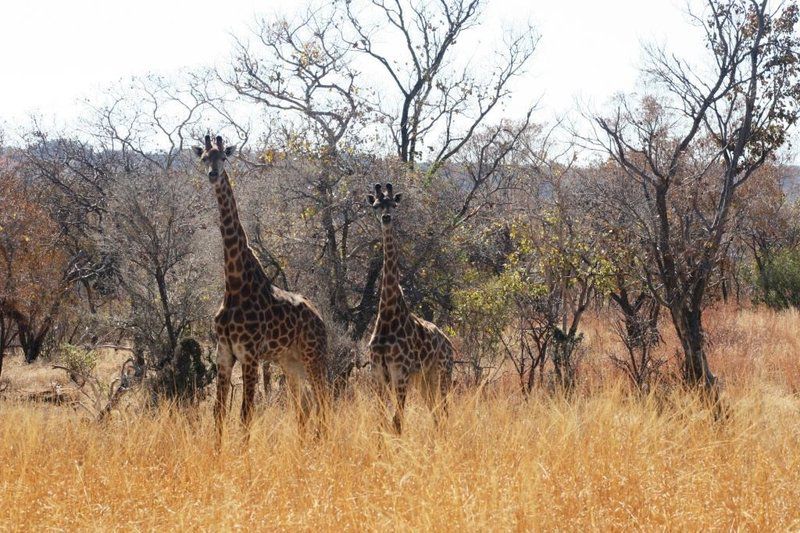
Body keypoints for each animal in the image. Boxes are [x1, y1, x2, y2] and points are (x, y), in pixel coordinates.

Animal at [192, 135, 330, 442]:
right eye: (204, 157)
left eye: (224, 157)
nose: (213, 175)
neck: (234, 284)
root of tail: (320, 317)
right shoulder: (224, 353)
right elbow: (218, 412)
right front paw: (217, 451)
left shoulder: (250, 354)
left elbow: (246, 414)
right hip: (290, 362)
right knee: (304, 405)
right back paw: (305, 445)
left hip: (313, 356)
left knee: (324, 400)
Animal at [366, 183, 454, 432]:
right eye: (376, 205)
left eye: (393, 205)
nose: (386, 218)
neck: (387, 316)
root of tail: (449, 343)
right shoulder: (378, 373)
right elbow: (380, 420)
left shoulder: (401, 373)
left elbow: (397, 421)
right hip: (424, 380)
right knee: (436, 413)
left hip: (442, 373)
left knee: (444, 412)